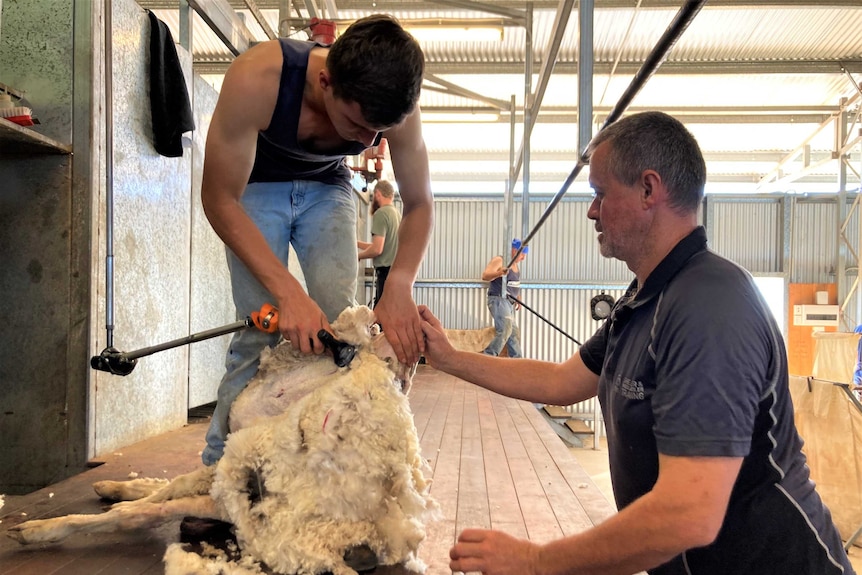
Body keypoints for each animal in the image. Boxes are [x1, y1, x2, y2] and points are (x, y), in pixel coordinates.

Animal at [5, 308, 438, 575]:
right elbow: (155, 501)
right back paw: (112, 486)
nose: (416, 333)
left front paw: (35, 530)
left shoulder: (232, 498)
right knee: (173, 484)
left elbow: (145, 510)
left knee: (172, 490)